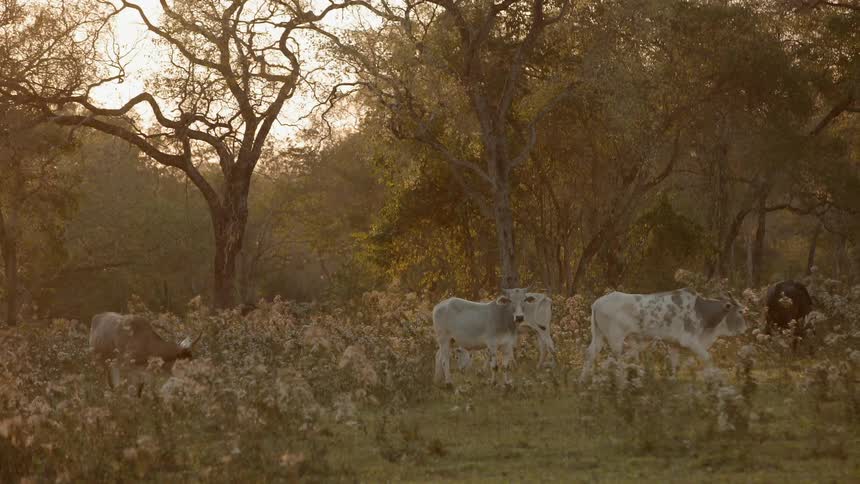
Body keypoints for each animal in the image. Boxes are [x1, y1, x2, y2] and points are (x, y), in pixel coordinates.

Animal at [580, 288, 747, 382]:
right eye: (740, 311)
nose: (745, 328)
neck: (700, 310)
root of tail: (597, 303)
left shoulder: (674, 345)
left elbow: (674, 366)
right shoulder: (691, 341)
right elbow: (708, 359)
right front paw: (716, 379)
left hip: (599, 336)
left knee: (591, 354)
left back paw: (583, 381)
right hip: (616, 339)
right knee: (617, 359)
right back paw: (621, 383)